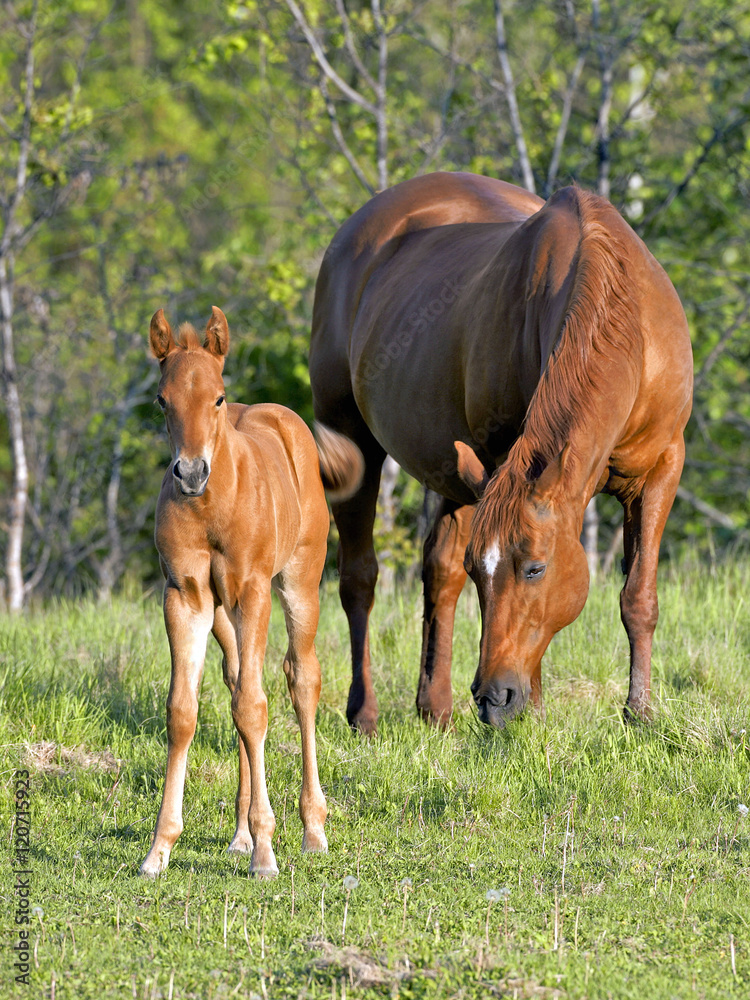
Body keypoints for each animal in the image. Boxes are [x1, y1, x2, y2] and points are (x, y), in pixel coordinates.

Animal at [140, 306, 363, 877]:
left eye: (217, 397)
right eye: (162, 400)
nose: (190, 472)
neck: (212, 505)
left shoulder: (253, 593)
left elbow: (256, 708)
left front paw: (267, 850)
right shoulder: (185, 598)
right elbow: (185, 712)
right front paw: (159, 849)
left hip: (299, 583)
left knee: (301, 679)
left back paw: (311, 828)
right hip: (223, 617)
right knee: (239, 678)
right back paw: (239, 835)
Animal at [309, 171, 693, 733]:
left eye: (535, 568)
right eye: (482, 571)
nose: (492, 697)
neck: (632, 333)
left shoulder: (661, 469)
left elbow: (638, 597)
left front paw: (639, 714)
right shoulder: (500, 460)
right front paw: (535, 713)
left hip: (455, 471)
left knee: (438, 572)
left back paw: (435, 708)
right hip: (352, 443)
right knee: (360, 578)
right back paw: (365, 712)